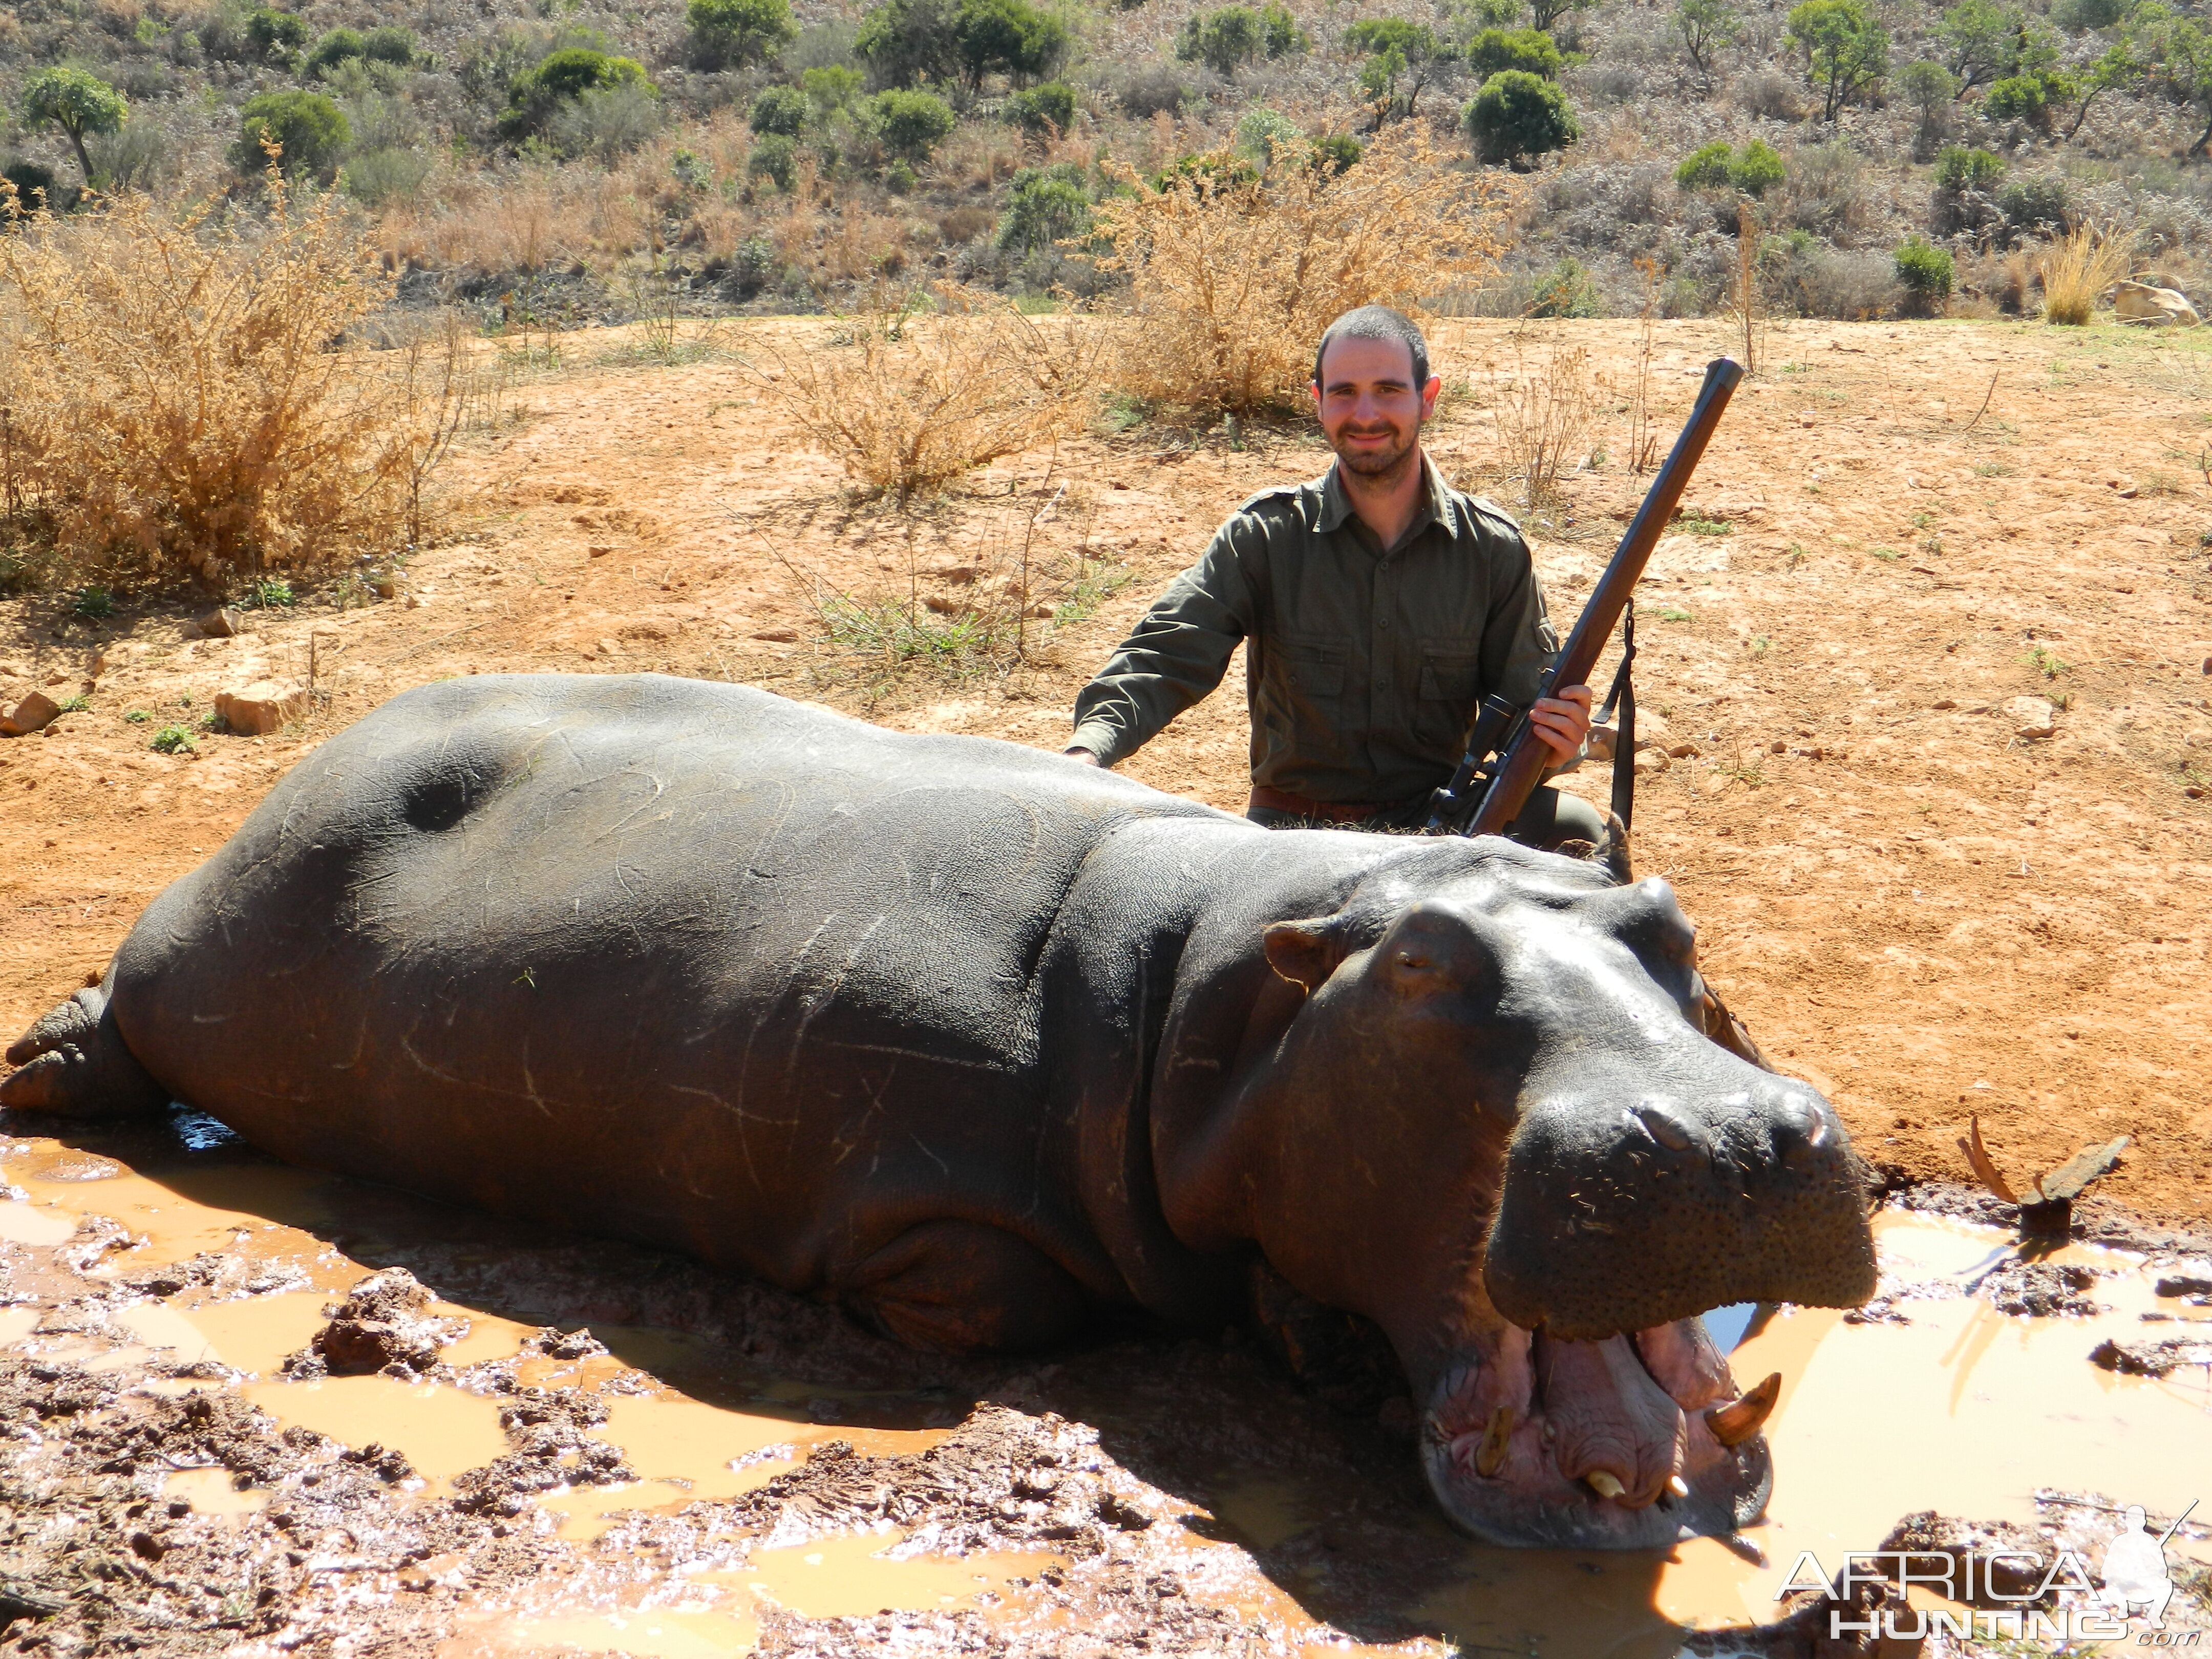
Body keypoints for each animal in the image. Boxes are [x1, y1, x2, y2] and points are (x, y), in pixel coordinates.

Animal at [0, 676, 1876, 1557]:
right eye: (1421, 965)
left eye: (1666, 921)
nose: (1728, 1135)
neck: (1224, 973)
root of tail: (322, 748)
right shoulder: (932, 1208)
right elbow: (1005, 1295)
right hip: (201, 942)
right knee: (123, 1018)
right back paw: (36, 1077)